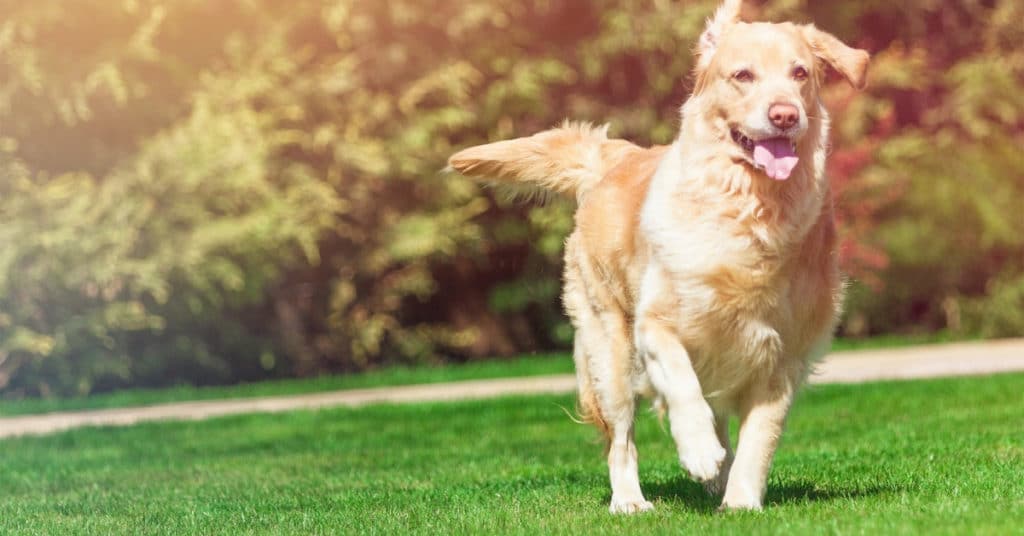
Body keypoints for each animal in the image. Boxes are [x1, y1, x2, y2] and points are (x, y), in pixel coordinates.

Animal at [446, 0, 864, 516]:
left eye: (800, 73)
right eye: (743, 75)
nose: (785, 115)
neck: (748, 210)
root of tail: (613, 157)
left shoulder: (784, 355)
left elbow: (759, 438)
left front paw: (741, 501)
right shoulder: (655, 326)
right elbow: (682, 385)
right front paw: (698, 450)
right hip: (609, 351)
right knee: (622, 440)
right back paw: (631, 499)